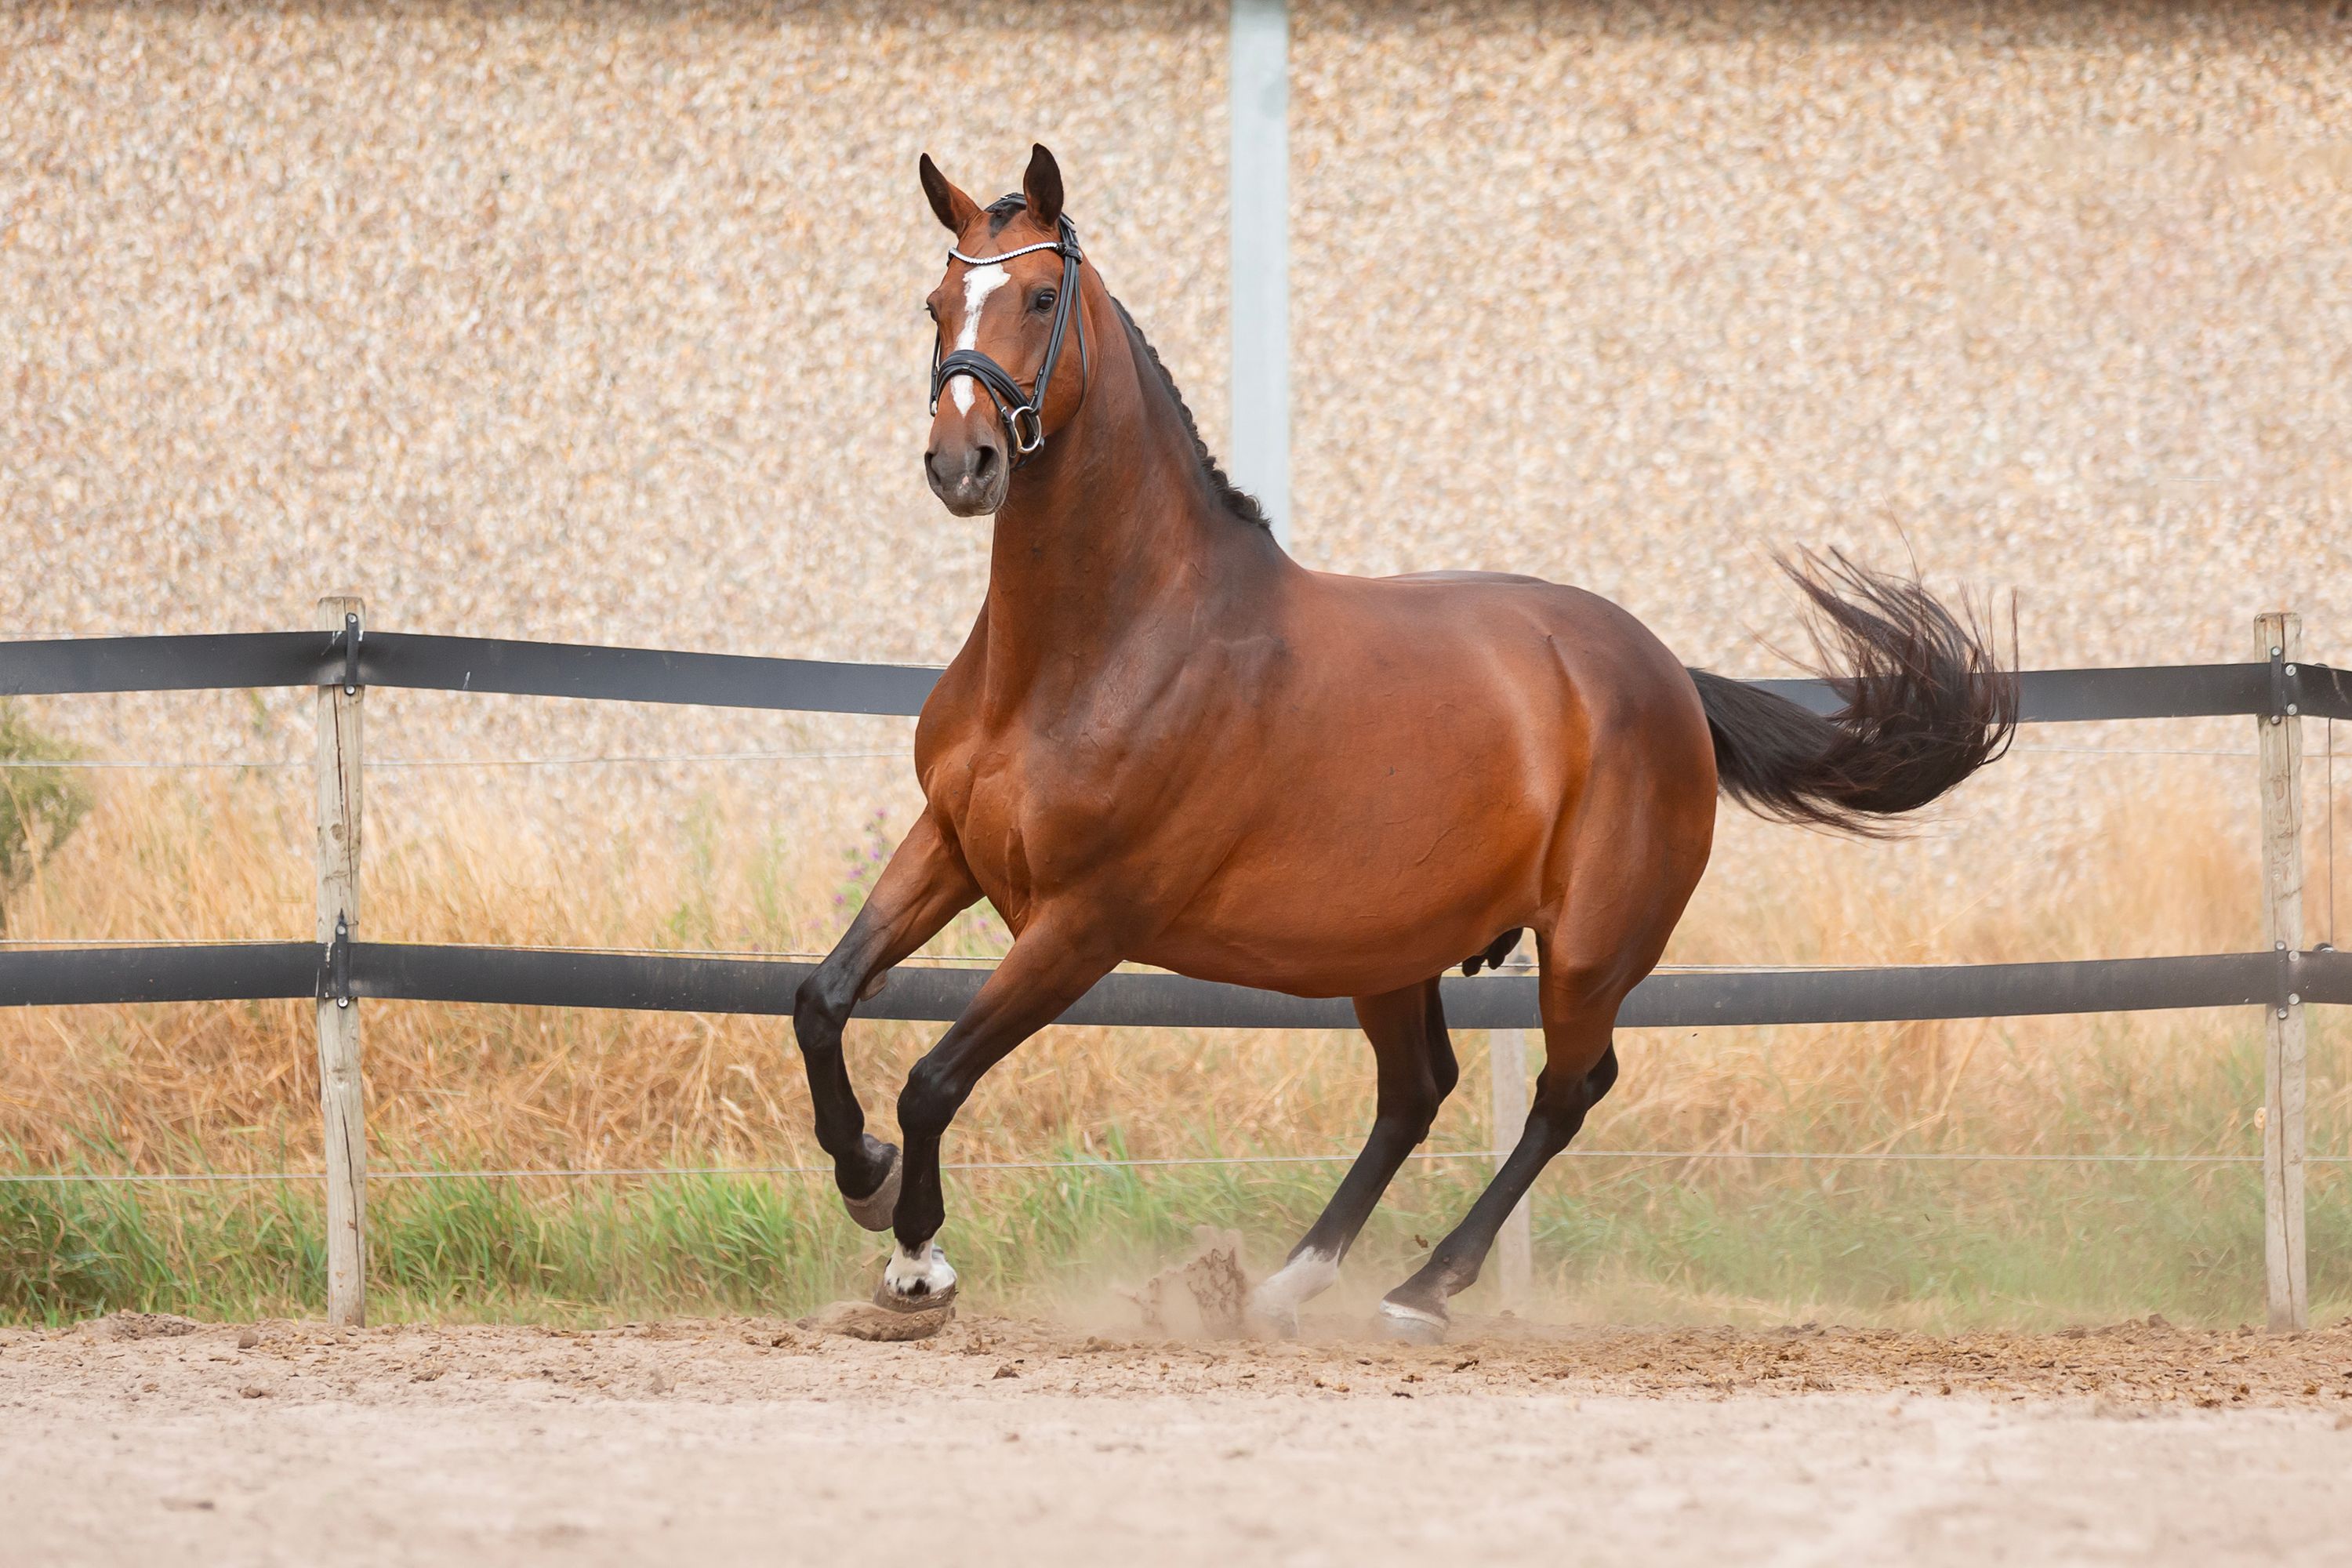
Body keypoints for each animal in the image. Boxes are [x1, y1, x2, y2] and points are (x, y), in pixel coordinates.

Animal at [789, 143, 2015, 1339]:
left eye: (1041, 297)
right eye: (937, 300)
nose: (962, 465)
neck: (1100, 644)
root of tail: (1663, 671)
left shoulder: (1087, 921)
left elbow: (935, 1077)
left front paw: (917, 1263)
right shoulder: (950, 843)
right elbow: (822, 999)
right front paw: (867, 1176)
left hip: (1588, 948)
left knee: (1567, 1092)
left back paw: (1420, 1290)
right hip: (1387, 946)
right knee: (1418, 1091)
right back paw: (1286, 1290)